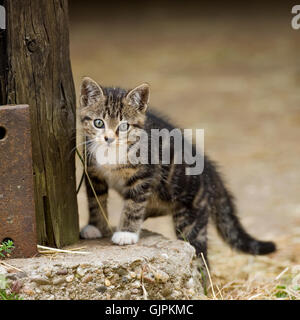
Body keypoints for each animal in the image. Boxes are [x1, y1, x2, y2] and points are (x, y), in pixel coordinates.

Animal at [79, 77, 276, 262]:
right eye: (98, 123)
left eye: (124, 126)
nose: (109, 138)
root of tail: (209, 169)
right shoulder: (93, 173)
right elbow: (95, 200)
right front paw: (95, 226)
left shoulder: (145, 175)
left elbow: (134, 203)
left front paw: (126, 233)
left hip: (191, 216)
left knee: (199, 254)